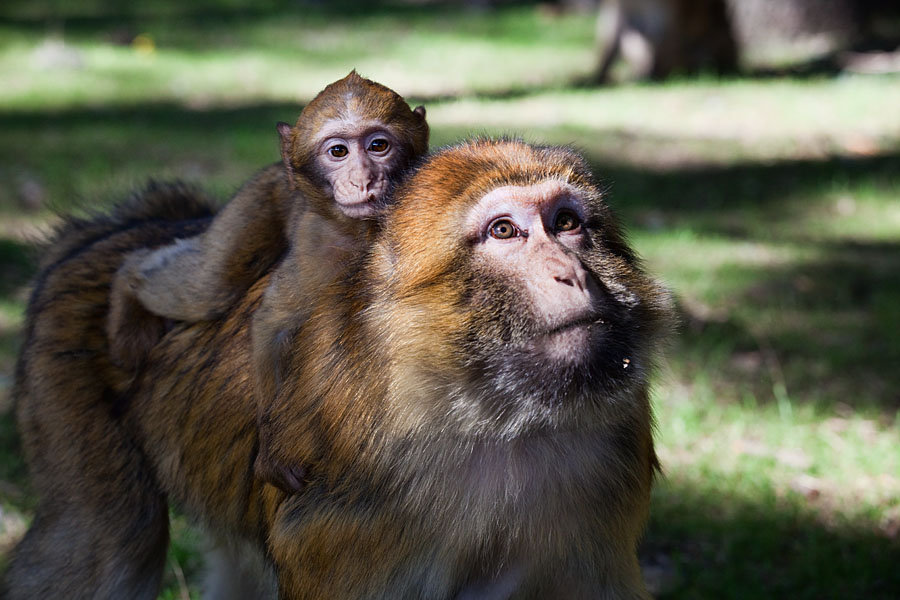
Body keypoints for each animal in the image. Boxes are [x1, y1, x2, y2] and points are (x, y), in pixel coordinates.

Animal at [3, 138, 671, 599]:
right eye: (504, 230)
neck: (493, 416)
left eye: (567, 223)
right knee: (108, 543)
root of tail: (119, 229)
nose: (571, 273)